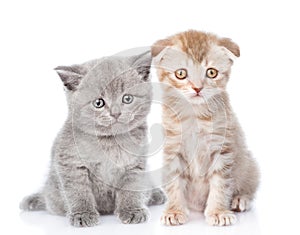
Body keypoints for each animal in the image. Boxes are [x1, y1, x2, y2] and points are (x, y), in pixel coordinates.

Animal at [19, 51, 165, 226]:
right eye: (99, 103)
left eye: (127, 98)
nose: (116, 113)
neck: (109, 142)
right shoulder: (70, 163)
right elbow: (78, 191)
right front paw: (83, 214)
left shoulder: (135, 164)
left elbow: (132, 187)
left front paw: (132, 210)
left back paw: (155, 194)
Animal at [151, 30, 258, 226]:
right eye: (181, 73)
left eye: (211, 72)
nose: (197, 88)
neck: (195, 116)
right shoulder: (173, 149)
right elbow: (174, 183)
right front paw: (174, 211)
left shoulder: (222, 149)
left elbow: (220, 184)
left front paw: (218, 212)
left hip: (249, 164)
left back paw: (240, 199)